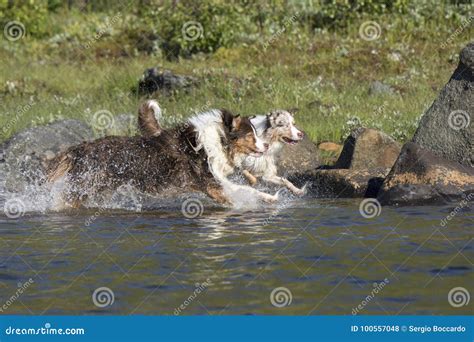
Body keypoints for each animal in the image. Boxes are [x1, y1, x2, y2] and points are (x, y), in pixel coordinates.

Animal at [46, 103, 276, 207]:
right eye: (250, 135)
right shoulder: (211, 183)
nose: (266, 145)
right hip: (86, 186)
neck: (218, 139)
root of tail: (78, 148)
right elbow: (244, 190)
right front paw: (269, 197)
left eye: (256, 133)